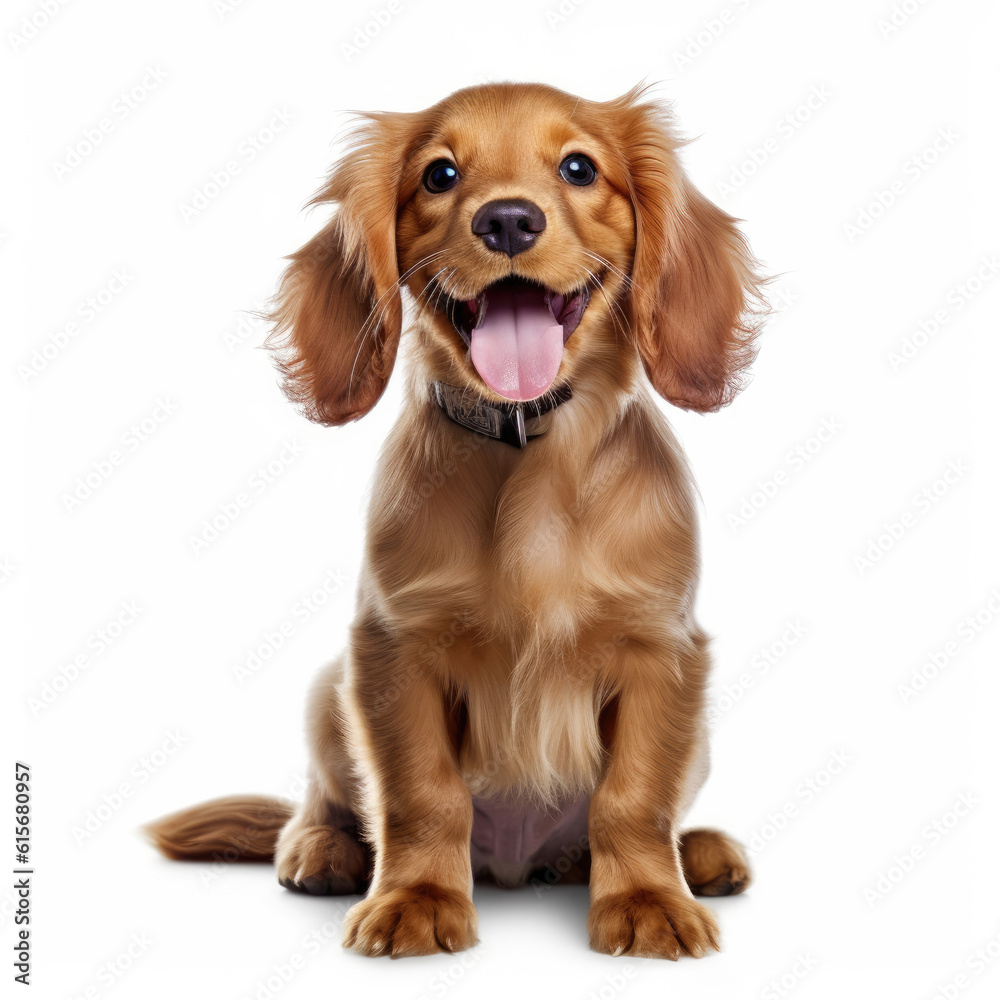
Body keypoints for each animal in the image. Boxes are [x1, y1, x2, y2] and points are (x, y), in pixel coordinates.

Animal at [146, 84, 764, 960]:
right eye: (439, 174)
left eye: (579, 168)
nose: (507, 221)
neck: (527, 449)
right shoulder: (394, 650)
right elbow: (422, 795)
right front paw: (417, 898)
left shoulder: (662, 651)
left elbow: (634, 797)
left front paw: (648, 898)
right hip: (327, 691)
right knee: (325, 804)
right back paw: (320, 849)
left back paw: (699, 853)